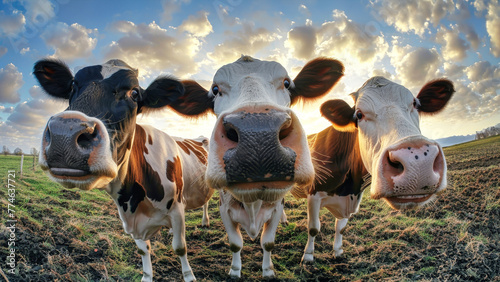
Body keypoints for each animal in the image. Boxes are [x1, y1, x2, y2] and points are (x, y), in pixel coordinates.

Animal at [34, 58, 214, 280]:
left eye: (134, 93)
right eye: (72, 85)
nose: (64, 135)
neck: (133, 200)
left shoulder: (176, 209)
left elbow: (180, 247)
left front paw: (189, 276)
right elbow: (143, 250)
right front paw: (146, 276)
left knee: (207, 202)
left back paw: (205, 221)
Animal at [166, 55, 346, 278]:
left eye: (287, 83)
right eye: (215, 90)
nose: (258, 134)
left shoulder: (275, 209)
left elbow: (267, 242)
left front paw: (268, 270)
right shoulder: (224, 210)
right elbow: (235, 243)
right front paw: (235, 271)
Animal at [294, 76, 456, 262]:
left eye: (415, 104)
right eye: (359, 114)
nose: (418, 161)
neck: (349, 189)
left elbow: (340, 228)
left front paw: (338, 251)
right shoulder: (314, 193)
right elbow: (314, 228)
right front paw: (308, 256)